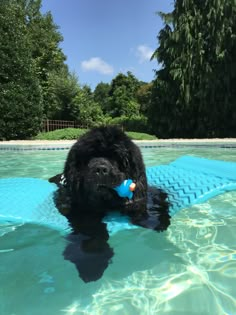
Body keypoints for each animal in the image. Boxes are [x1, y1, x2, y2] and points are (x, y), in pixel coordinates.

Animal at [49, 127, 170, 282]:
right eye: (89, 157)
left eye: (117, 158)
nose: (101, 169)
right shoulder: (81, 209)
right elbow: (91, 230)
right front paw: (92, 260)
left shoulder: (146, 192)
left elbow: (147, 202)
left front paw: (154, 220)